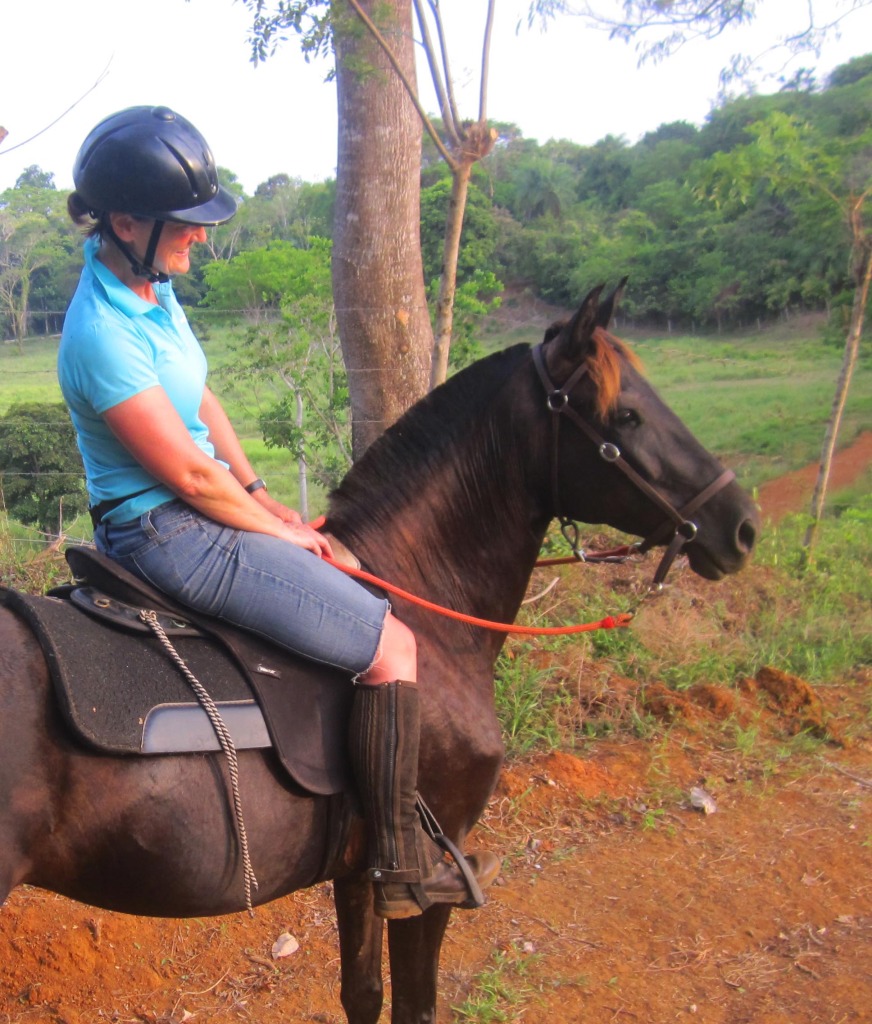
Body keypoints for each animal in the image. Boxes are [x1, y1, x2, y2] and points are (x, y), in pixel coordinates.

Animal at [0, 284, 757, 1019]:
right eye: (626, 416)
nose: (742, 525)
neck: (419, 598)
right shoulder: (435, 873)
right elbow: (416, 1004)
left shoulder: (359, 869)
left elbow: (362, 994)